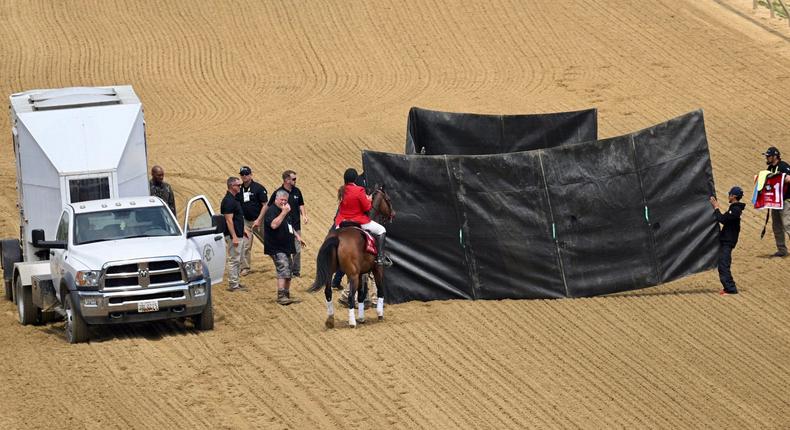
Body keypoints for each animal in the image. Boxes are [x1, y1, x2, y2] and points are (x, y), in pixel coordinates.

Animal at [310, 186, 396, 330]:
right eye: (388, 199)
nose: (393, 214)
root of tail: (337, 238)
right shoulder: (377, 269)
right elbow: (379, 290)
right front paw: (379, 313)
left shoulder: (361, 273)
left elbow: (361, 295)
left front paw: (361, 317)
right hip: (353, 275)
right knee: (350, 296)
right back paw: (352, 322)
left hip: (331, 272)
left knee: (328, 292)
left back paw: (330, 320)